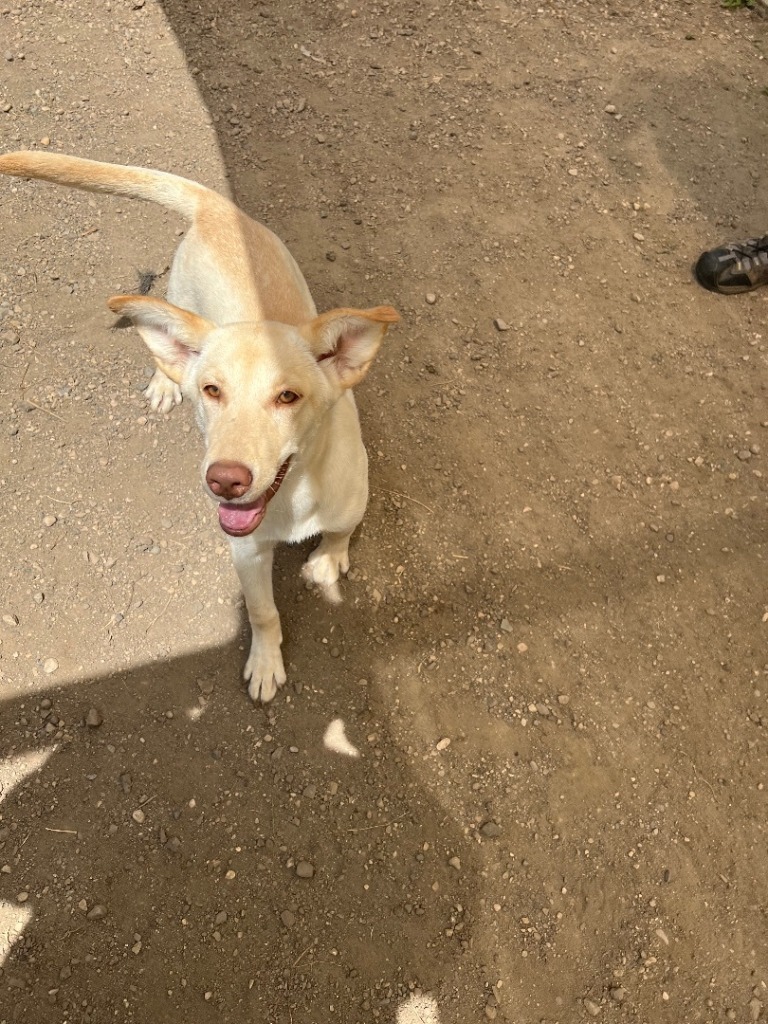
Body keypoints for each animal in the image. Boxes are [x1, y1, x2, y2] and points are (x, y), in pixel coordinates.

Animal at [3, 151, 403, 704]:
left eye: (288, 396)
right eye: (213, 391)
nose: (225, 480)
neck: (295, 494)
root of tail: (216, 207)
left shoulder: (352, 497)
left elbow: (341, 532)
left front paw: (328, 560)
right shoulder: (247, 553)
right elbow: (263, 612)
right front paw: (265, 662)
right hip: (179, 301)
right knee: (165, 348)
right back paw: (164, 381)